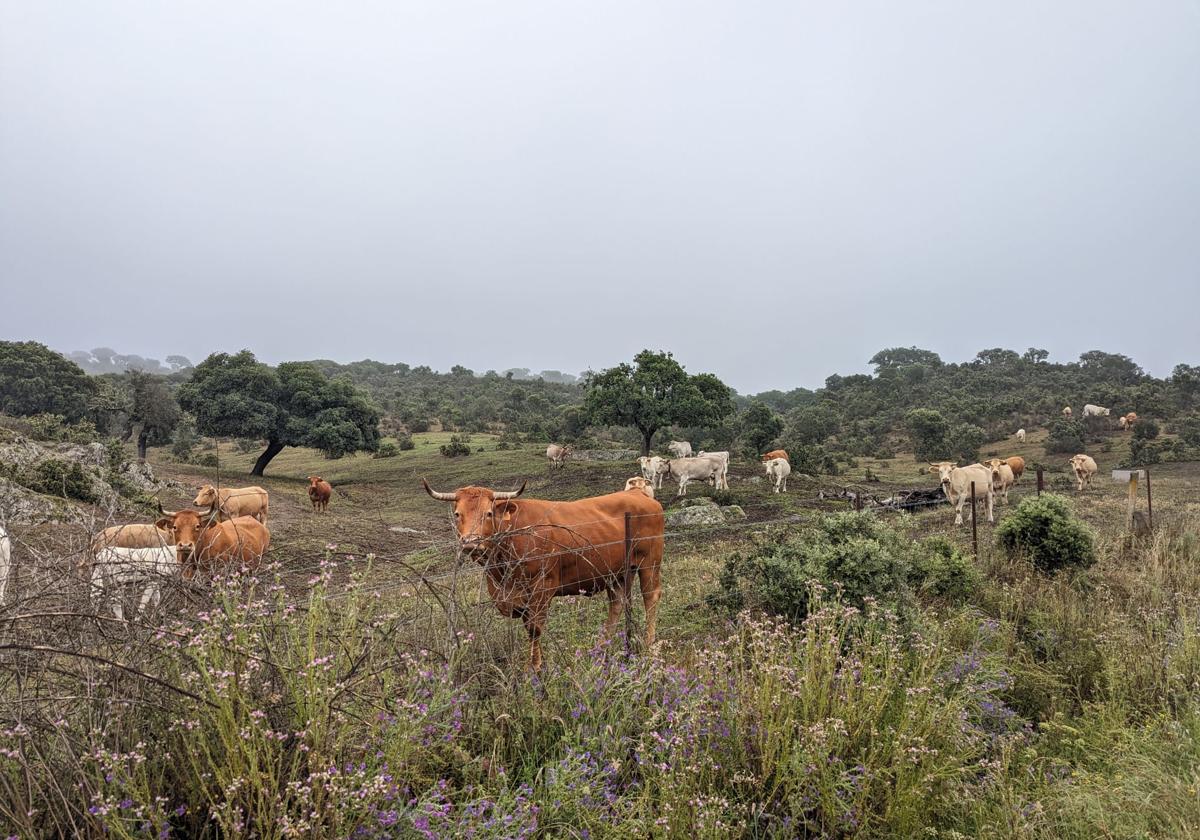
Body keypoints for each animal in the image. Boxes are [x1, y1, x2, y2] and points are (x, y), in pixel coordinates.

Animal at [422, 480, 667, 667]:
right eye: (457, 514)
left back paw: (649, 646)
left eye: (489, 513)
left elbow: (535, 630)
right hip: (616, 572)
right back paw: (601, 650)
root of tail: (638, 493)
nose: (471, 543)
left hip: (649, 563)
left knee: (651, 597)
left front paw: (535, 670)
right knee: (617, 603)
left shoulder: (541, 588)